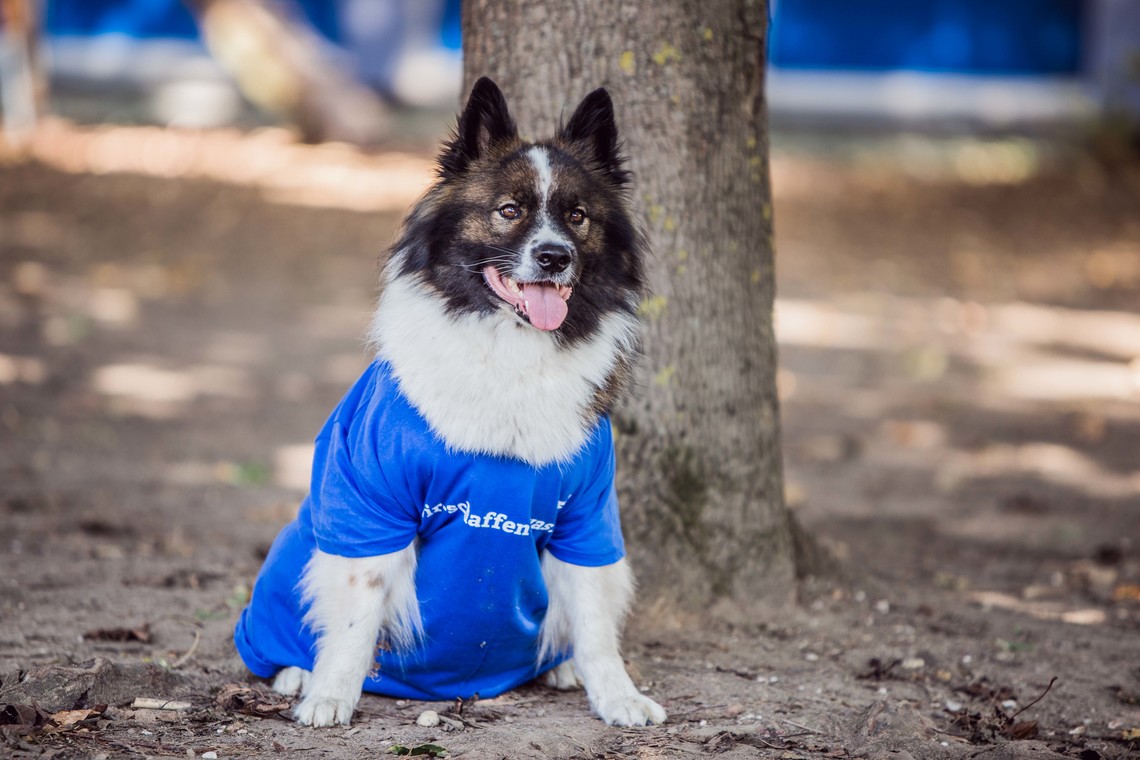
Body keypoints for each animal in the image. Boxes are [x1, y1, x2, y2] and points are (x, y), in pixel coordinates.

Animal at [232, 78, 665, 729]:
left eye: (577, 216)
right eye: (509, 210)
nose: (555, 257)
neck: (511, 352)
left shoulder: (585, 520)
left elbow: (594, 621)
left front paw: (615, 694)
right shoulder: (371, 508)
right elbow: (356, 618)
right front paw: (332, 694)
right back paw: (296, 671)